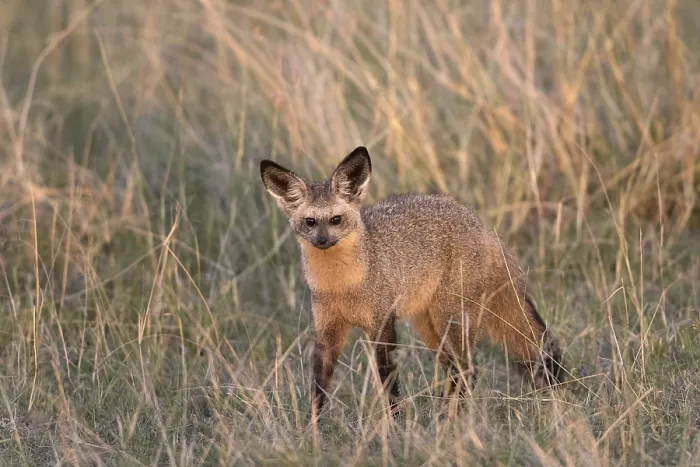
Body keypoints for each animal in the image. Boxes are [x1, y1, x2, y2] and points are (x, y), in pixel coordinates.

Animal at [259, 146, 563, 421]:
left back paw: (448, 419)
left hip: (449, 320)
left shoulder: (382, 325)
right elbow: (319, 387)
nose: (322, 241)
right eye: (310, 222)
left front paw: (396, 426)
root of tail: (484, 229)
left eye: (336, 220)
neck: (342, 287)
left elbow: (388, 383)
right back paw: (446, 414)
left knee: (469, 369)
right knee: (457, 368)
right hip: (430, 328)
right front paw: (311, 428)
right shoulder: (328, 332)